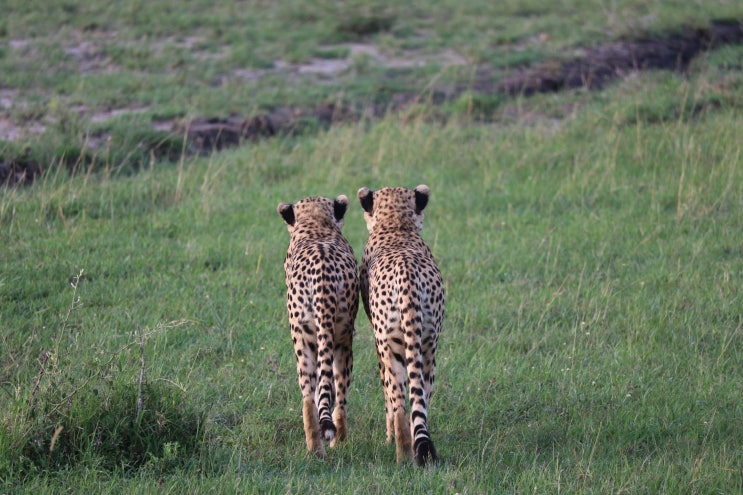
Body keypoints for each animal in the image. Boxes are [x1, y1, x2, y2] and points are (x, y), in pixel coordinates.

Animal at [280, 196, 360, 460]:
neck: (316, 225)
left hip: (308, 339)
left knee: (311, 397)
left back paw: (319, 447)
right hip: (339, 340)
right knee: (331, 395)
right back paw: (332, 443)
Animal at [358, 184, 444, 466]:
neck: (395, 226)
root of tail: (407, 277)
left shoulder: (379, 344)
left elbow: (387, 393)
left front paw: (388, 438)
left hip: (392, 348)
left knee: (396, 401)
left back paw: (399, 449)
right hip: (428, 348)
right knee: (421, 397)